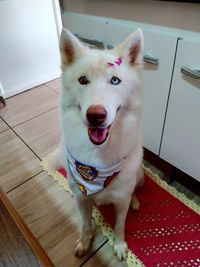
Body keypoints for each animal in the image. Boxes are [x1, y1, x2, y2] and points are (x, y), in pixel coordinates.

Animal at [49, 28, 145, 262]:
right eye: (83, 80)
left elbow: (119, 226)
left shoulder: (120, 201)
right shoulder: (81, 199)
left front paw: (120, 245)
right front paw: (85, 243)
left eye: (115, 81)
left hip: (138, 175)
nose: (95, 115)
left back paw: (135, 200)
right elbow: (85, 224)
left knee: (134, 189)